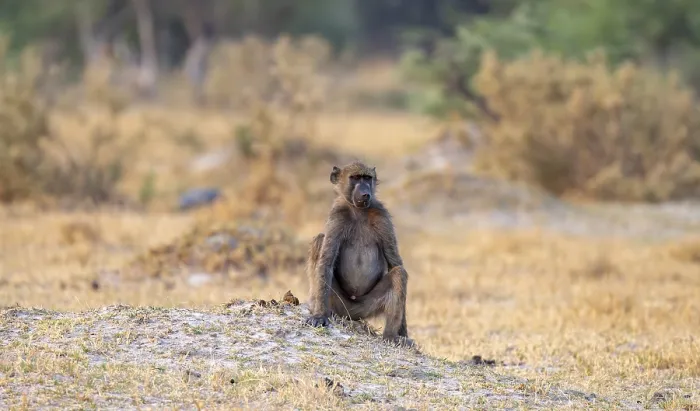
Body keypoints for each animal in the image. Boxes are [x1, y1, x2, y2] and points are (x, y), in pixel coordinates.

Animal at [304, 161, 414, 348]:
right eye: (355, 178)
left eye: (367, 178)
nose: (365, 193)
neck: (358, 211)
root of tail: (351, 314)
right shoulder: (337, 216)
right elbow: (326, 260)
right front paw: (319, 316)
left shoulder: (382, 216)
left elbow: (395, 263)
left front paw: (403, 332)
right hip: (337, 302)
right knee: (319, 240)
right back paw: (318, 307)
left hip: (366, 307)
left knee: (399, 274)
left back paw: (390, 336)